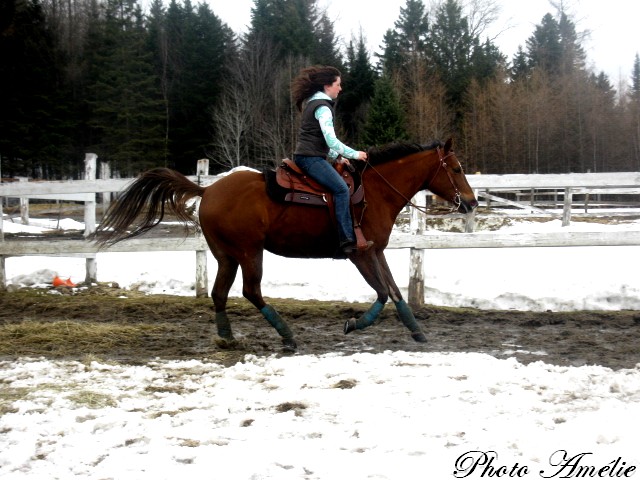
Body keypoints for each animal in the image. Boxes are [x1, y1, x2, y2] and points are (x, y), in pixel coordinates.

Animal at [94, 137, 476, 350]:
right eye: (456, 169)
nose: (471, 202)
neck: (375, 192)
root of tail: (207, 189)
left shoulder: (375, 251)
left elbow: (395, 291)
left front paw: (417, 331)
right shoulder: (360, 253)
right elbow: (382, 292)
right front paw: (354, 324)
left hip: (226, 255)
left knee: (219, 293)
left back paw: (228, 338)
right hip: (249, 252)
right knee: (251, 291)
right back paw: (287, 336)